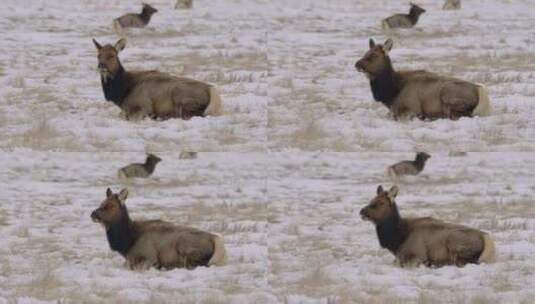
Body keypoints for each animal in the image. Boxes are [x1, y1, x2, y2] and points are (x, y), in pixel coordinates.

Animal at [91, 188, 227, 270]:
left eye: (110, 205)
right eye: (101, 202)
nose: (93, 214)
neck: (127, 242)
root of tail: (215, 238)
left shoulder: (150, 257)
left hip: (184, 245)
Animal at [92, 39, 222, 121]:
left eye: (112, 55)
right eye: (98, 55)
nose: (101, 66)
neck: (121, 92)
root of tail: (211, 89)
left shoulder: (144, 106)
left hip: (181, 96)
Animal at [356, 37, 494, 119]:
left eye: (374, 55)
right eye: (365, 53)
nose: (357, 64)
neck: (391, 93)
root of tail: (480, 90)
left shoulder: (412, 108)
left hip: (448, 95)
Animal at [362, 184, 496, 268]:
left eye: (381, 202)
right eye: (371, 199)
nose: (362, 212)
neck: (397, 239)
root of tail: (486, 237)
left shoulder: (418, 255)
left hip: (455, 243)